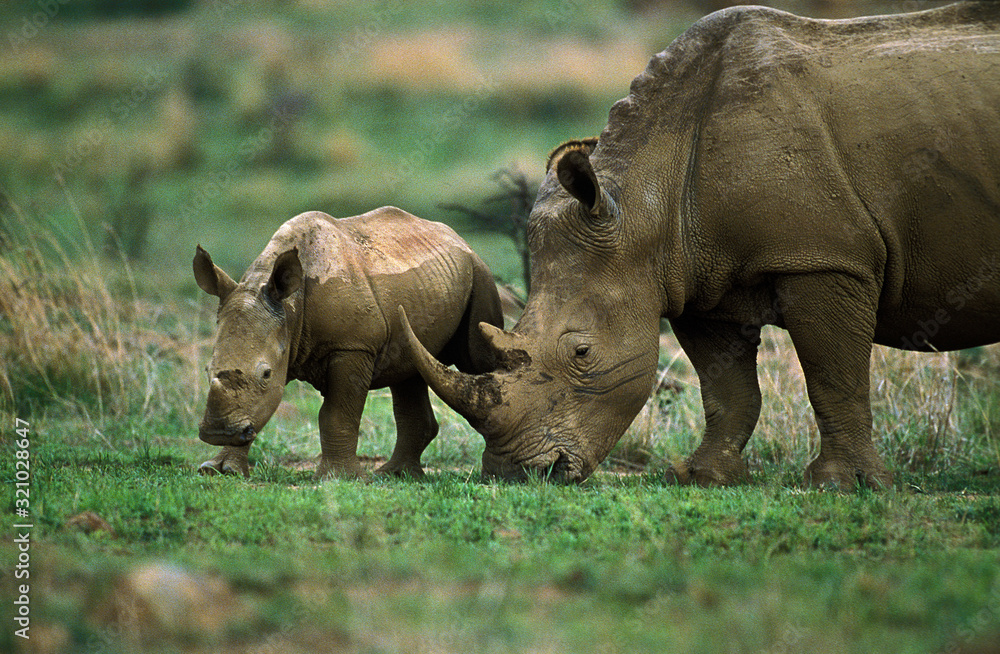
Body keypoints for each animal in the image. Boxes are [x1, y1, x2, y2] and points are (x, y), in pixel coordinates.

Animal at [194, 207, 502, 478]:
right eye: (207, 370)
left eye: (266, 373)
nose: (216, 433)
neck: (290, 309)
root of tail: (459, 239)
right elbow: (256, 407)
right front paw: (219, 470)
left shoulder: (353, 347)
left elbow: (336, 414)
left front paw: (338, 478)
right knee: (409, 369)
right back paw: (397, 474)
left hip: (480, 274)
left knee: (476, 361)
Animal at [400, 1, 1000, 488]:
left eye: (582, 353)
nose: (518, 474)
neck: (645, 203)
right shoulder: (695, 276)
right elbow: (726, 388)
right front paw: (703, 477)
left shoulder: (825, 260)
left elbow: (834, 377)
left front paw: (843, 485)